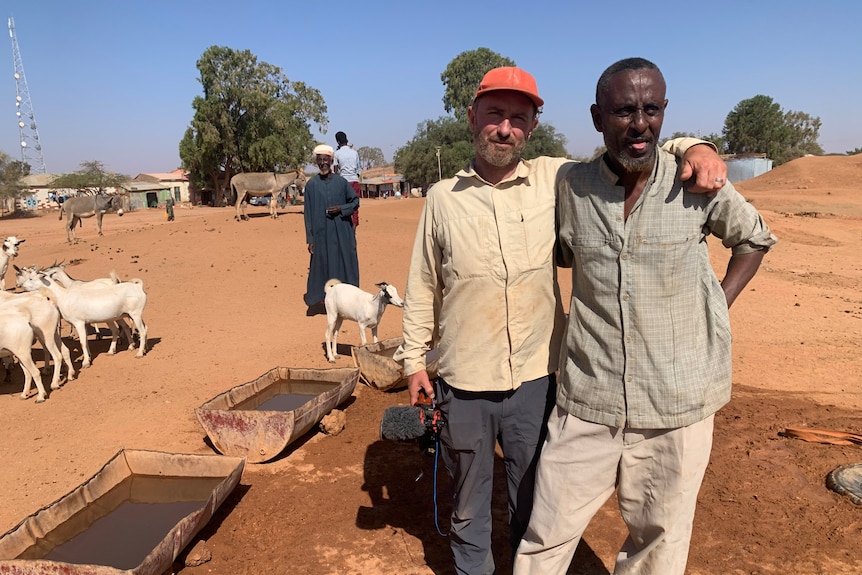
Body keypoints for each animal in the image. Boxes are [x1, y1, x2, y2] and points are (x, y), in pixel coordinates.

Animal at [19, 270, 148, 368]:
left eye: (31, 278)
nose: (22, 286)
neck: (63, 296)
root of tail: (138, 287)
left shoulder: (79, 323)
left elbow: (82, 342)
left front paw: (85, 363)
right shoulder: (84, 323)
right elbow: (85, 340)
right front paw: (89, 358)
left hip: (135, 314)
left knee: (141, 331)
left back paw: (139, 353)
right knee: (143, 329)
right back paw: (139, 349)